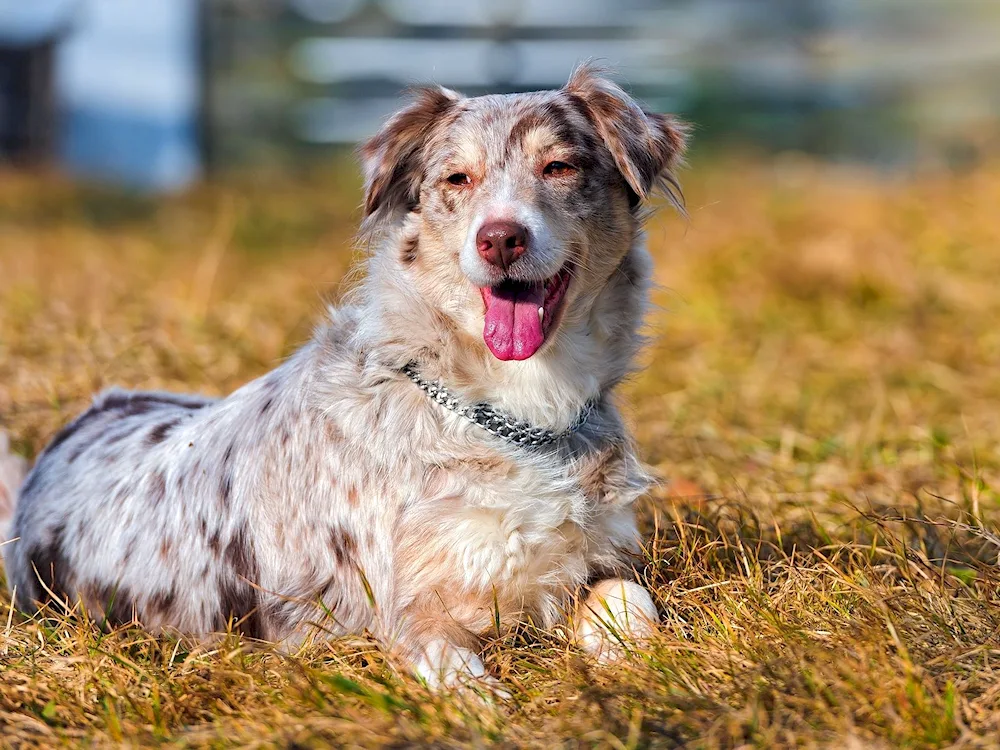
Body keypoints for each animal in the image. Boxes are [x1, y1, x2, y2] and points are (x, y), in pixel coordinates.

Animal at [0, 66, 684, 692]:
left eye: (559, 168)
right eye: (457, 179)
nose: (500, 239)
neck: (513, 412)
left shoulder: (598, 556)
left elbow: (634, 605)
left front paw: (642, 664)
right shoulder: (408, 614)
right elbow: (465, 683)